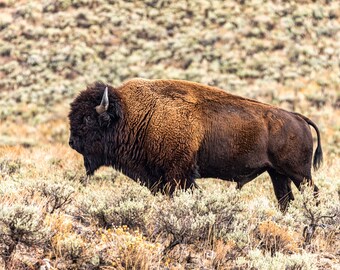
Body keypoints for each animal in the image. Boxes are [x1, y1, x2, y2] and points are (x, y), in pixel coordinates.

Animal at [68, 78, 322, 211]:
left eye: (88, 118)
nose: (72, 142)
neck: (135, 115)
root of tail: (298, 117)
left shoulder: (178, 174)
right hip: (277, 174)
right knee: (285, 199)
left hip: (299, 174)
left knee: (313, 193)